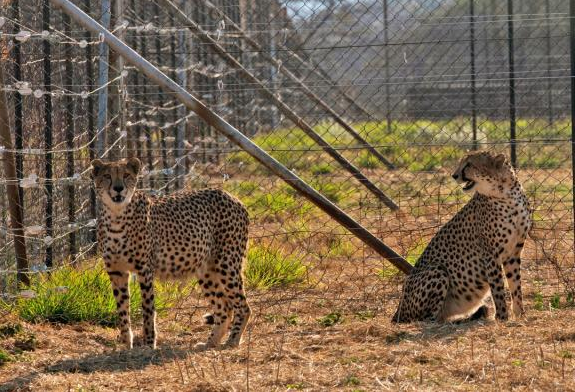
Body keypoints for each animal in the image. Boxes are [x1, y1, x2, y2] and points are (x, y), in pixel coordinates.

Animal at [91, 158, 250, 350]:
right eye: (107, 176)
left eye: (126, 175)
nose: (118, 188)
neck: (116, 215)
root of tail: (231, 196)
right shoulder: (116, 271)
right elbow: (122, 309)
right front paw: (126, 345)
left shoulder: (144, 270)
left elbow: (148, 309)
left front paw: (149, 344)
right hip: (206, 270)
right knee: (224, 308)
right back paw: (209, 343)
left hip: (226, 264)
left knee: (243, 306)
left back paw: (232, 341)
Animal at [394, 152, 532, 324]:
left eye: (469, 164)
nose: (454, 175)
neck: (507, 194)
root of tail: (397, 311)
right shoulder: (490, 254)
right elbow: (498, 289)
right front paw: (501, 318)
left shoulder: (513, 252)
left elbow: (515, 285)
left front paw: (520, 315)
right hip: (438, 270)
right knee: (427, 319)